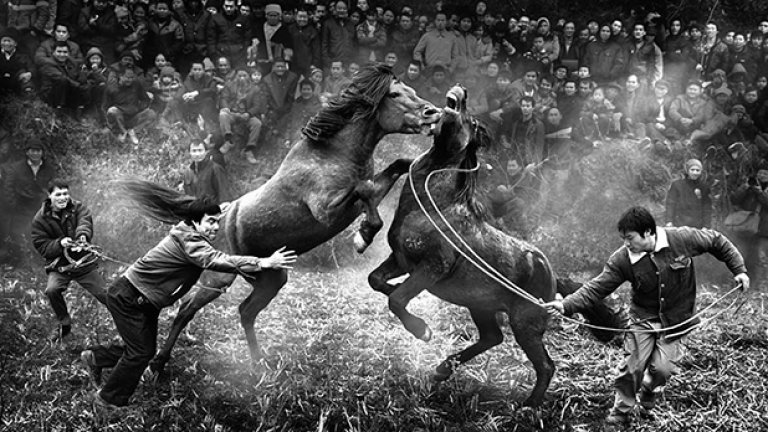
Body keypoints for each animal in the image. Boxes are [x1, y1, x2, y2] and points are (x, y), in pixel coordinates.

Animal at [140, 64, 442, 375]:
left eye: (413, 90)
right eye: (394, 94)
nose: (433, 113)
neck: (335, 152)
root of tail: (212, 219)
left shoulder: (361, 199)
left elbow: (396, 168)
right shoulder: (325, 210)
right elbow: (364, 189)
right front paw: (363, 237)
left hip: (271, 279)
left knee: (246, 311)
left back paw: (259, 363)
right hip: (218, 275)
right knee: (187, 307)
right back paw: (158, 363)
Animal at [368, 87, 620, 407]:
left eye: (472, 122)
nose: (462, 92)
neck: (434, 205)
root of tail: (550, 273)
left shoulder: (433, 267)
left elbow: (397, 300)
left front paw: (422, 331)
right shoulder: (401, 260)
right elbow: (377, 281)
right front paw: (404, 303)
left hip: (525, 322)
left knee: (545, 364)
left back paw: (528, 405)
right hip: (481, 305)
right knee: (492, 338)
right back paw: (442, 370)